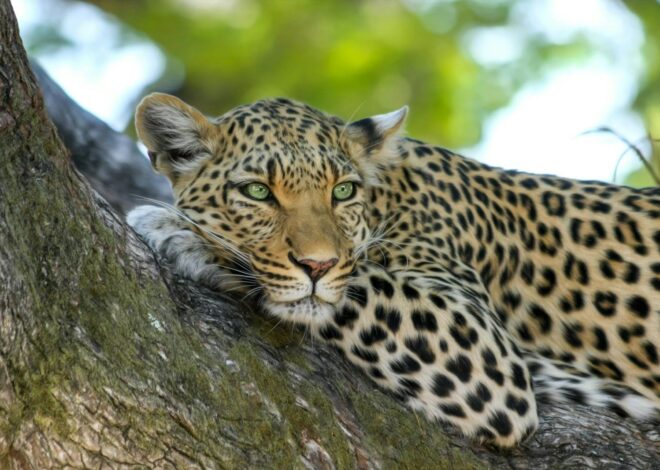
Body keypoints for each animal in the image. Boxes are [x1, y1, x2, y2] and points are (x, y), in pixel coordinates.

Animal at [126, 92, 656, 448]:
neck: (386, 198)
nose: (317, 264)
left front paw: (181, 232)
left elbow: (357, 284)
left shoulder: (484, 350)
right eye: (257, 192)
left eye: (342, 191)